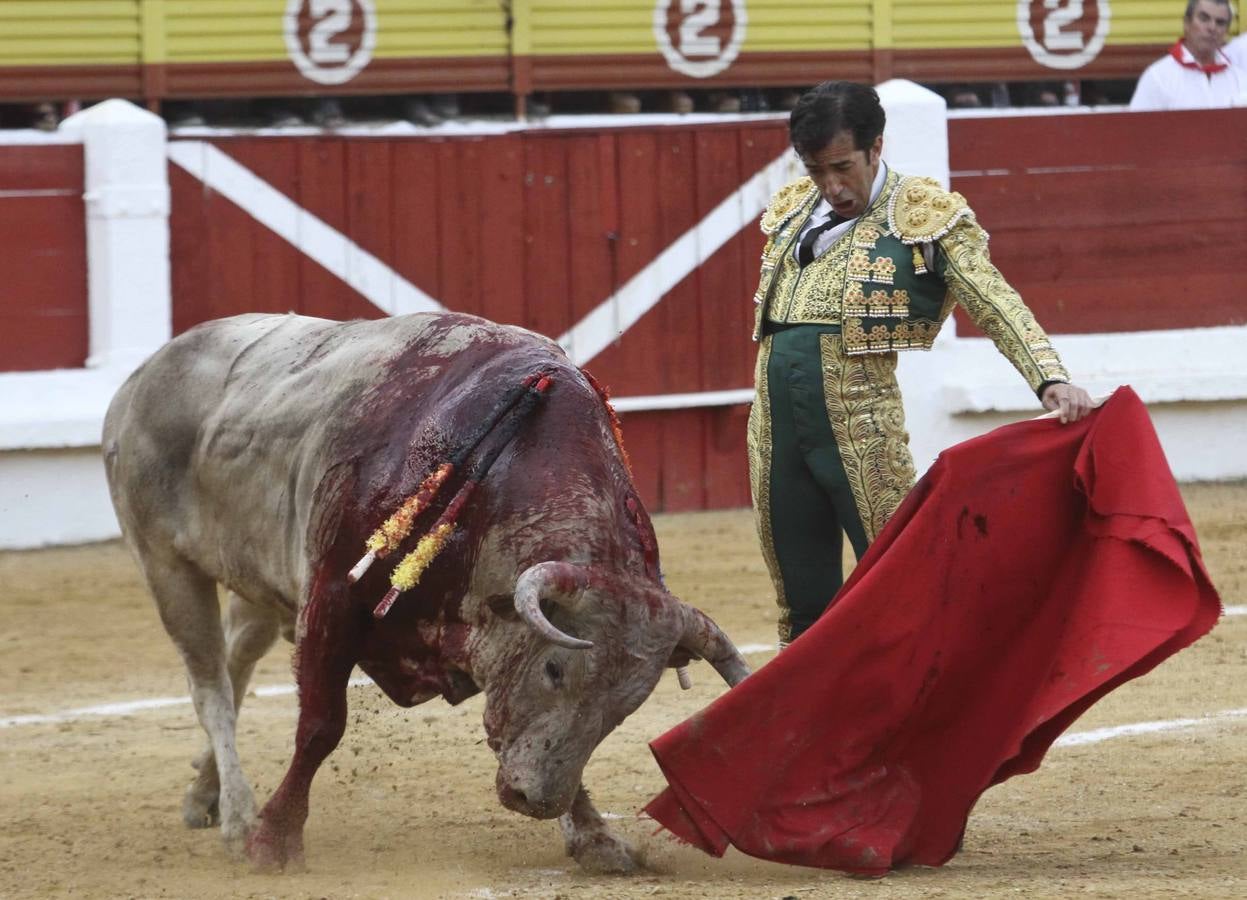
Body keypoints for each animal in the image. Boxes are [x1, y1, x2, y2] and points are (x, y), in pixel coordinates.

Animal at [102, 311, 743, 872]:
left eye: (627, 705)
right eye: (555, 670)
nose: (536, 803)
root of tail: (140, 378)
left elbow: (524, 734)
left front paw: (594, 838)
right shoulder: (332, 594)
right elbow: (321, 725)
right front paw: (275, 841)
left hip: (259, 583)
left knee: (235, 669)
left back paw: (205, 796)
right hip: (166, 564)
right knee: (210, 685)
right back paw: (238, 818)